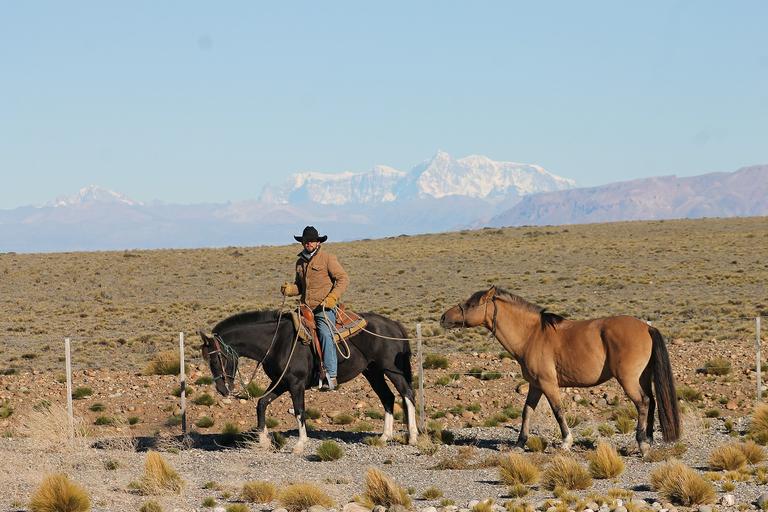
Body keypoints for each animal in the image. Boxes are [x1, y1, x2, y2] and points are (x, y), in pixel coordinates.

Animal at [196, 310, 414, 454]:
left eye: (215, 360)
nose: (222, 389)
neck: (276, 342)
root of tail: (394, 324)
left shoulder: (296, 383)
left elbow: (299, 410)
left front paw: (300, 444)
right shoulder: (281, 382)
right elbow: (261, 403)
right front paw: (263, 441)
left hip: (391, 369)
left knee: (407, 394)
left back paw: (412, 437)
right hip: (373, 372)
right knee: (387, 397)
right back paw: (384, 437)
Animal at [440, 286, 680, 458]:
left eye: (471, 304)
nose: (443, 318)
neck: (532, 335)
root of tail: (646, 326)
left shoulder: (548, 384)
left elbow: (558, 411)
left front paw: (566, 442)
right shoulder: (535, 385)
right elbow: (526, 412)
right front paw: (519, 444)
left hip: (628, 379)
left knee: (643, 403)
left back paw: (642, 444)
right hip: (643, 377)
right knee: (652, 401)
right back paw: (649, 439)